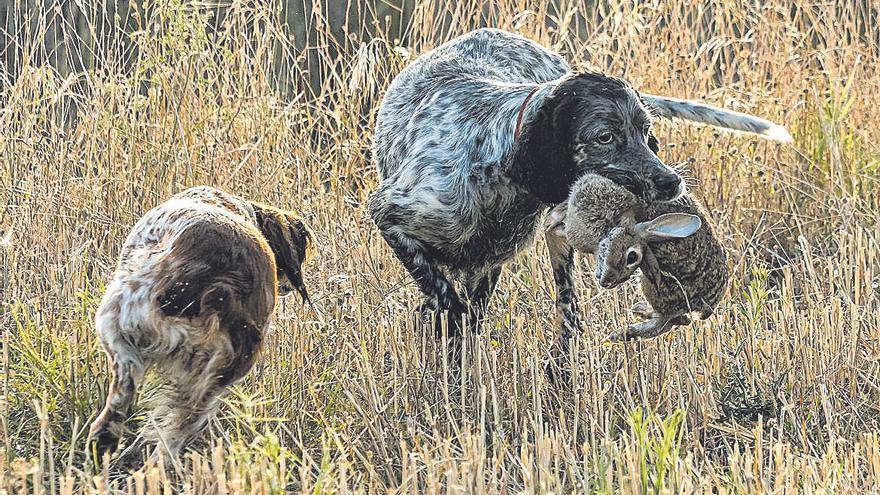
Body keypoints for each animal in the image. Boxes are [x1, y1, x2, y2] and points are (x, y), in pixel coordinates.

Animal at [552, 173, 728, 340]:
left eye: (632, 257)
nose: (607, 282)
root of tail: (706, 307)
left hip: (656, 290)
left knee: (665, 321)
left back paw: (621, 334)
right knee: (678, 321)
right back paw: (640, 312)